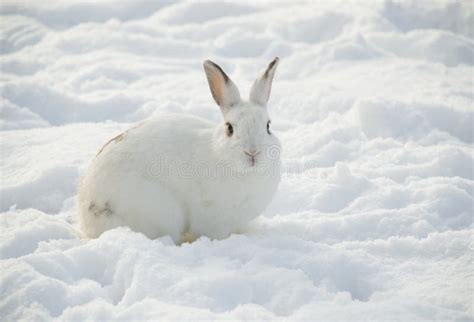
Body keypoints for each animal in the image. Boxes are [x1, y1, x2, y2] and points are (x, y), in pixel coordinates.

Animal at [78, 58, 282, 244]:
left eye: (268, 126)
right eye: (230, 128)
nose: (253, 153)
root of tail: (88, 219)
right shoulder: (214, 219)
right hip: (157, 209)